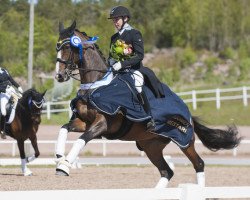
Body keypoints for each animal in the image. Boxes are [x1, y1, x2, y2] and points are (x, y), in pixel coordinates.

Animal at [53, 21, 241, 188]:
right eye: (57, 47)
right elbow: (63, 129)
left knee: (198, 164)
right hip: (151, 145)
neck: (97, 85)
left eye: (68, 48)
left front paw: (64, 166)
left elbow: (81, 140)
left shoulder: (103, 123)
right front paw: (59, 156)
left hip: (184, 140)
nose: (59, 76)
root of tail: (187, 112)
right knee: (166, 171)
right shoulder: (85, 122)